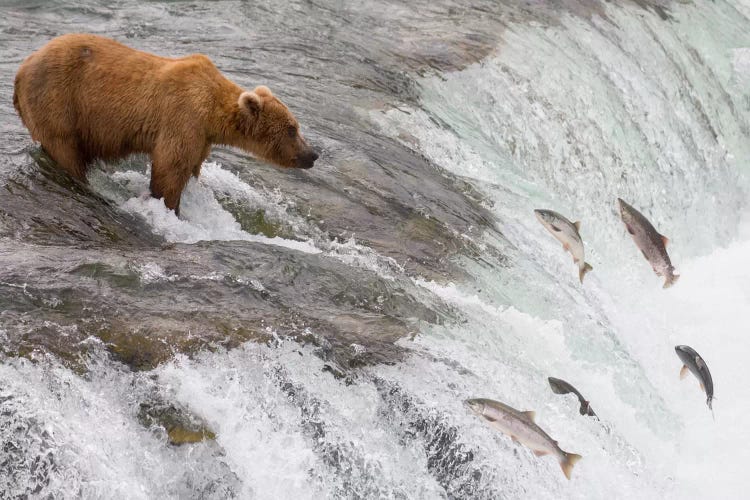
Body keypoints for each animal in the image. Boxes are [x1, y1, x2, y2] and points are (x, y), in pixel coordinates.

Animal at [12, 34, 318, 214]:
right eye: (292, 129)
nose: (312, 154)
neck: (212, 115)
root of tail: (21, 68)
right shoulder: (182, 119)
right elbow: (169, 169)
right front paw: (170, 209)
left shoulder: (201, 138)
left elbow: (191, 166)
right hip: (58, 102)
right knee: (64, 150)